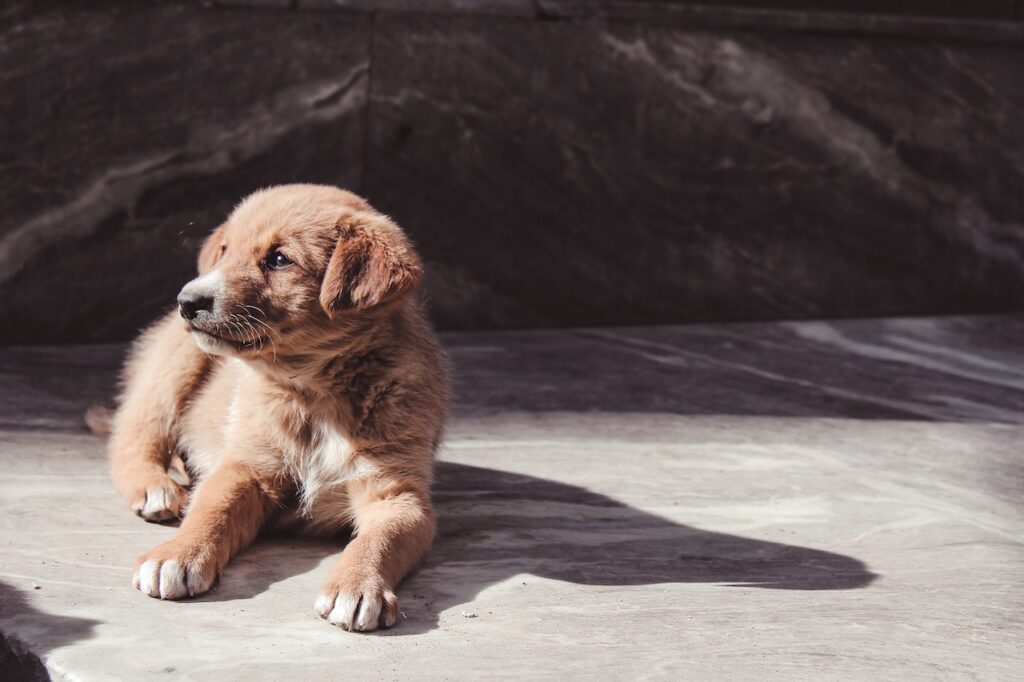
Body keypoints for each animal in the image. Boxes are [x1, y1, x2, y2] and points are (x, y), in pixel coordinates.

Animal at [103, 183, 448, 630]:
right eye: (223, 252)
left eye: (279, 259)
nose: (187, 301)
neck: (314, 396)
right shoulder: (247, 466)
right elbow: (211, 509)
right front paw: (176, 554)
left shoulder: (396, 494)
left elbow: (380, 540)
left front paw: (357, 586)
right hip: (172, 365)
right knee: (133, 437)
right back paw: (155, 487)